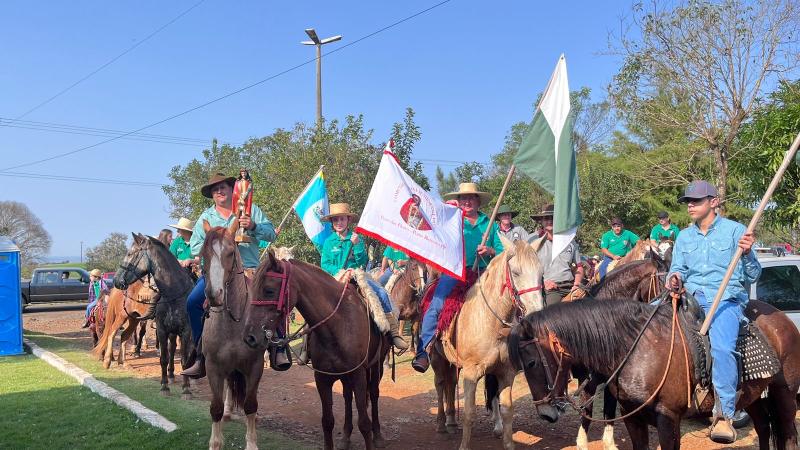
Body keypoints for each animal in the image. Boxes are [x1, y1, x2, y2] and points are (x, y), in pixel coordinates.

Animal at [114, 234, 195, 396]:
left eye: (130, 254)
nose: (115, 280)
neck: (174, 294)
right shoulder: (163, 330)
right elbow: (164, 358)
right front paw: (164, 386)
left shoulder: (186, 331)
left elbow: (184, 359)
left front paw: (186, 389)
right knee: (171, 349)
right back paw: (171, 374)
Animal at [245, 251, 392, 450]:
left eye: (269, 290)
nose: (250, 337)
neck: (338, 325)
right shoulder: (322, 378)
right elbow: (327, 421)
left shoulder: (358, 375)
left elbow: (364, 422)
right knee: (347, 396)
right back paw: (346, 436)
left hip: (376, 365)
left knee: (374, 393)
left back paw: (378, 436)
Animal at [428, 237, 548, 448]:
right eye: (515, 272)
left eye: (541, 273)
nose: (535, 313)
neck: (491, 322)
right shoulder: (471, 371)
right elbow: (469, 413)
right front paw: (464, 446)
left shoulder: (506, 372)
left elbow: (507, 410)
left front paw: (508, 444)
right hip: (437, 358)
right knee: (440, 384)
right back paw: (442, 423)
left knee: (450, 383)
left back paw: (451, 421)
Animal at [512, 298, 800, 450]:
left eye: (532, 363)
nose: (545, 414)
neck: (636, 348)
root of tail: (782, 319)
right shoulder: (633, 417)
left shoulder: (668, 418)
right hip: (754, 398)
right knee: (763, 427)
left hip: (784, 395)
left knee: (788, 433)